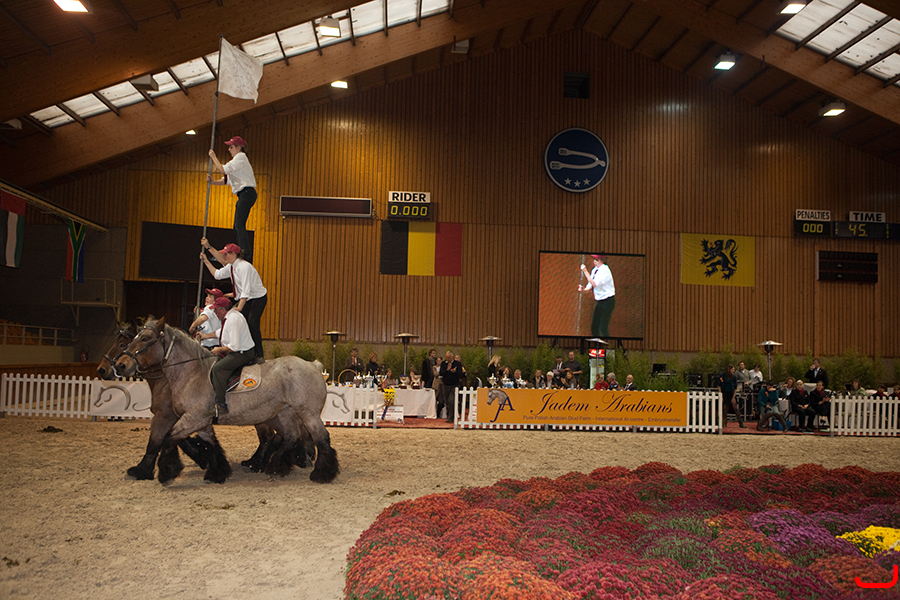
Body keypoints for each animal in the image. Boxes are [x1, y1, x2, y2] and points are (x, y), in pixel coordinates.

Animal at [97, 322, 232, 484]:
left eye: (123, 344)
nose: (102, 369)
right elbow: (179, 440)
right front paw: (202, 457)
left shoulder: (166, 416)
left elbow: (157, 441)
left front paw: (146, 470)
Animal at [114, 316, 339, 484]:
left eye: (145, 338)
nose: (120, 365)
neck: (191, 372)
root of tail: (313, 365)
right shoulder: (202, 421)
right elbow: (211, 445)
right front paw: (216, 472)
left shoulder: (190, 418)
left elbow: (167, 439)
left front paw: (167, 472)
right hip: (284, 413)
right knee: (290, 437)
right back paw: (276, 466)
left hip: (307, 413)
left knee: (321, 438)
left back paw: (321, 473)